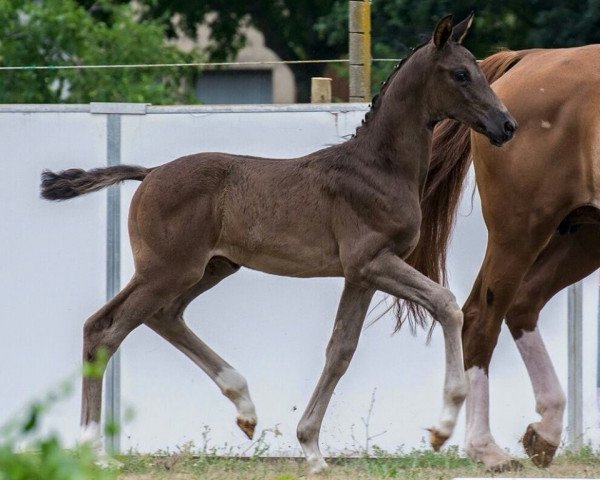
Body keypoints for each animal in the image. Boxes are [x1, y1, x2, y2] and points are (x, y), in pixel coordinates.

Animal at [39, 15, 516, 472]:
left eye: (479, 69)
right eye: (460, 74)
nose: (507, 125)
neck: (378, 168)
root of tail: (150, 173)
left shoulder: (360, 275)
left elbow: (340, 350)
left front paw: (312, 448)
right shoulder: (372, 262)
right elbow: (446, 304)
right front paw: (441, 428)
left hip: (211, 267)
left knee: (163, 316)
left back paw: (245, 408)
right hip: (166, 270)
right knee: (104, 329)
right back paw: (94, 450)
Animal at [420, 47, 596, 470]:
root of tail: (529, 58)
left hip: (583, 236)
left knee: (522, 304)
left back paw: (545, 430)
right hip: (518, 233)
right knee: (481, 318)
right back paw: (485, 448)